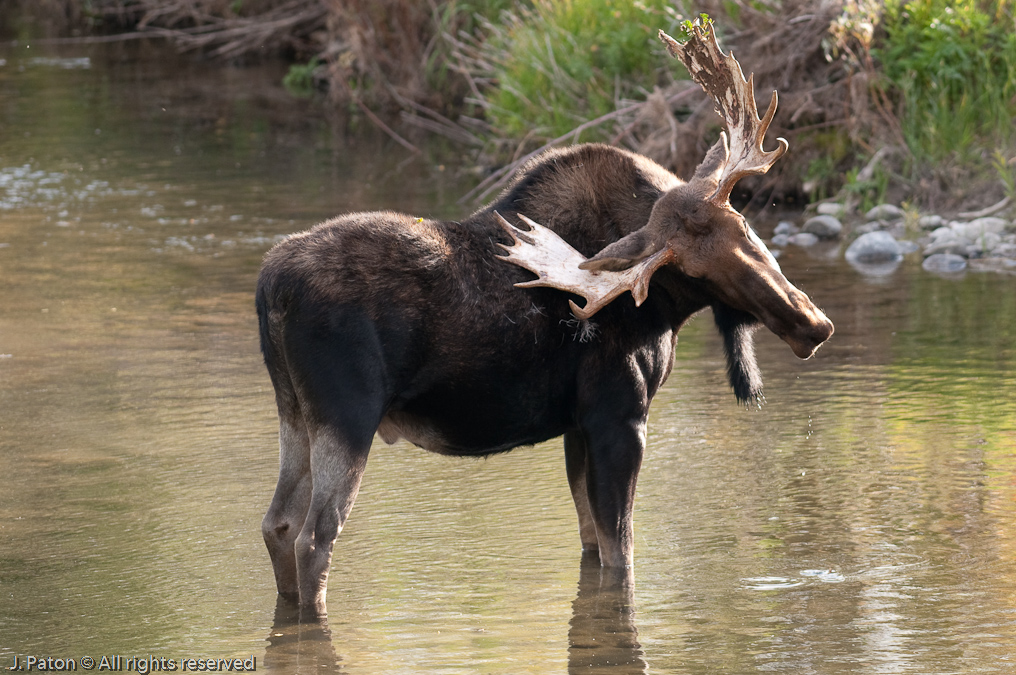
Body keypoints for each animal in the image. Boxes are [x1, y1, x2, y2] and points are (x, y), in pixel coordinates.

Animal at [254, 21, 833, 614]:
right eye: (689, 269)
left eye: (742, 227)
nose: (810, 323)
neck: (665, 311)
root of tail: (269, 288)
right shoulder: (619, 416)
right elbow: (622, 552)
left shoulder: (576, 426)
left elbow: (591, 543)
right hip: (348, 415)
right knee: (315, 535)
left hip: (293, 412)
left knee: (277, 524)